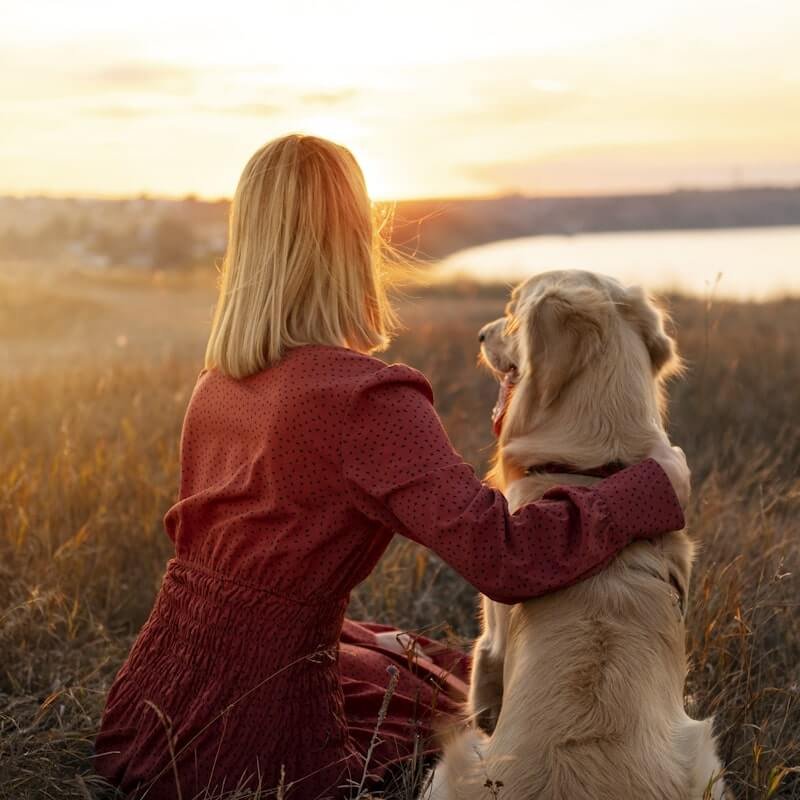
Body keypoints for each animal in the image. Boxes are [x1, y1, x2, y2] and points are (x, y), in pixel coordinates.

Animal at [422, 270, 728, 800]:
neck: (593, 472)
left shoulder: (491, 638)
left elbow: (484, 680)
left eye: (511, 310)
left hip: (450, 763)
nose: (480, 335)